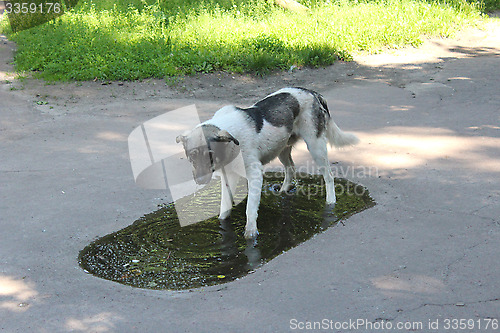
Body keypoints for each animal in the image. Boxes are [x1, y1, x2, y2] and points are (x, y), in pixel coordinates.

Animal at [177, 87, 360, 239]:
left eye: (210, 154)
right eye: (192, 156)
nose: (200, 181)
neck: (232, 141)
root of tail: (313, 93)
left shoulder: (255, 176)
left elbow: (250, 209)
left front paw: (251, 235)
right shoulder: (229, 177)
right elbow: (225, 208)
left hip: (316, 147)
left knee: (328, 176)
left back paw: (330, 202)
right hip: (282, 149)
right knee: (291, 168)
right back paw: (284, 190)